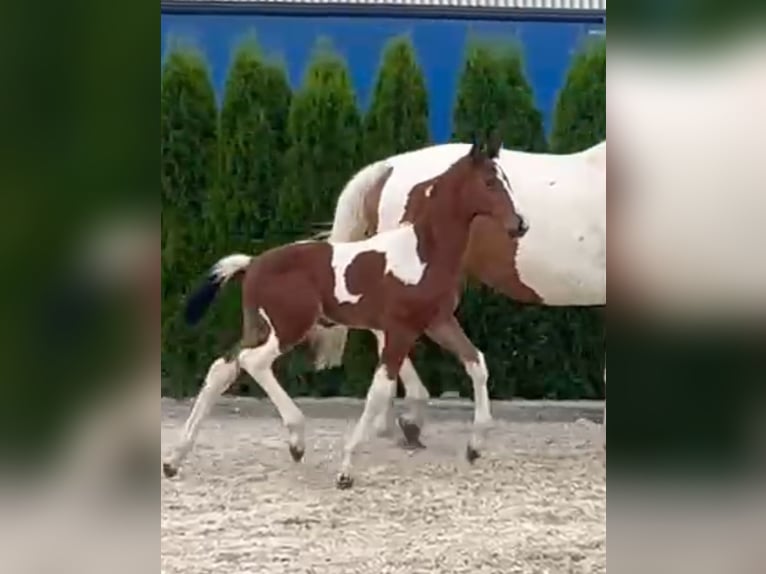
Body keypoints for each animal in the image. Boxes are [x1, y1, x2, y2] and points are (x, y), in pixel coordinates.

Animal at [165, 138, 532, 490]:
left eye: (507, 180)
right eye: (489, 182)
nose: (521, 225)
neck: (423, 252)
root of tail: (252, 264)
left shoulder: (438, 322)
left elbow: (476, 362)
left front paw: (475, 447)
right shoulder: (400, 329)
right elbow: (380, 390)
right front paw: (346, 470)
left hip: (260, 327)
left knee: (222, 368)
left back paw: (174, 460)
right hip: (289, 327)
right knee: (252, 362)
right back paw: (296, 440)